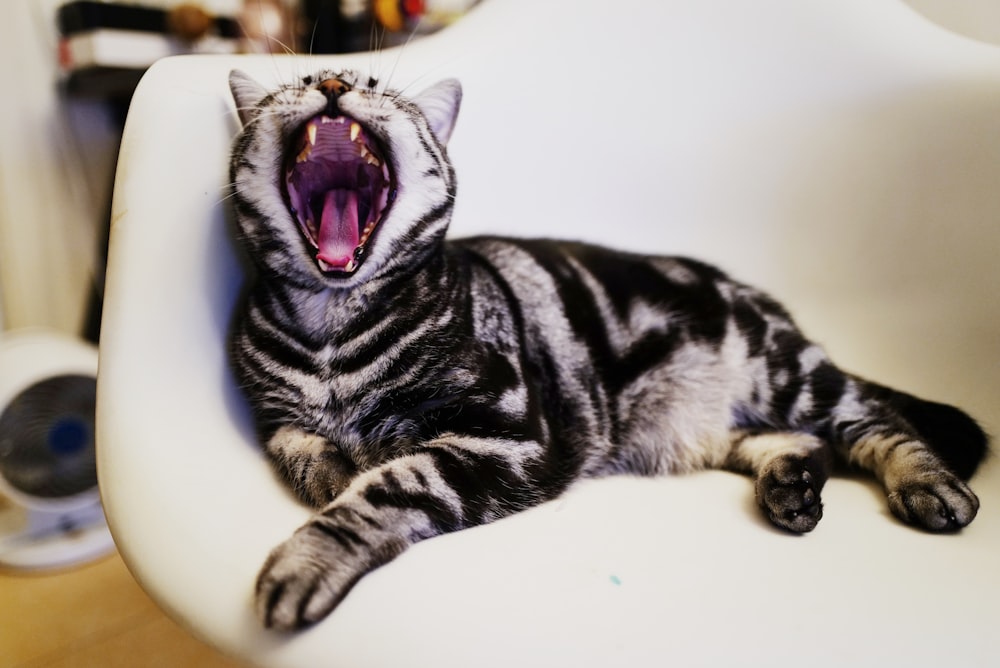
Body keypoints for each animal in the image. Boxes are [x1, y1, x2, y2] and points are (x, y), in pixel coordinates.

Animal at [225, 68, 984, 632]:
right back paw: (790, 486)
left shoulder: (507, 437)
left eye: (375, 82)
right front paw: (334, 470)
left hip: (787, 373)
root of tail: (761, 298)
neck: (331, 324)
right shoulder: (276, 417)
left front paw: (311, 553)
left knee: (875, 420)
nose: (331, 78)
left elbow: (387, 489)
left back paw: (929, 484)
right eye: (299, 79)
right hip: (705, 427)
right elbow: (300, 449)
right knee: (798, 442)